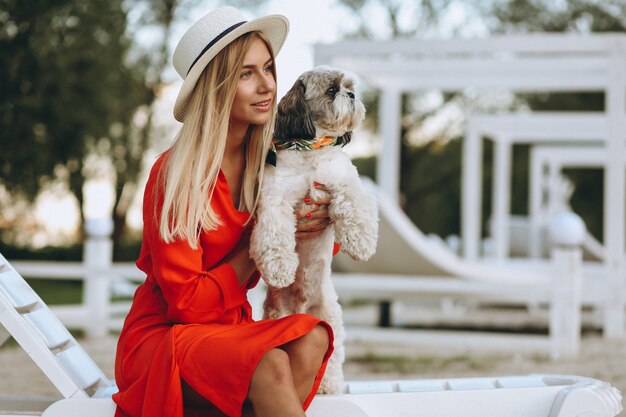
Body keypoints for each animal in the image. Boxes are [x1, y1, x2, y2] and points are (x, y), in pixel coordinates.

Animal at [247, 65, 376, 394]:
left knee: (332, 356)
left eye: (350, 87)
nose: (351, 95)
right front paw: (280, 267)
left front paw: (361, 242)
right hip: (278, 315)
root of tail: (304, 307)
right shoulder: (275, 198)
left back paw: (328, 385)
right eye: (332, 90)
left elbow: (356, 206)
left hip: (330, 319)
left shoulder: (344, 181)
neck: (311, 152)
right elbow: (275, 234)